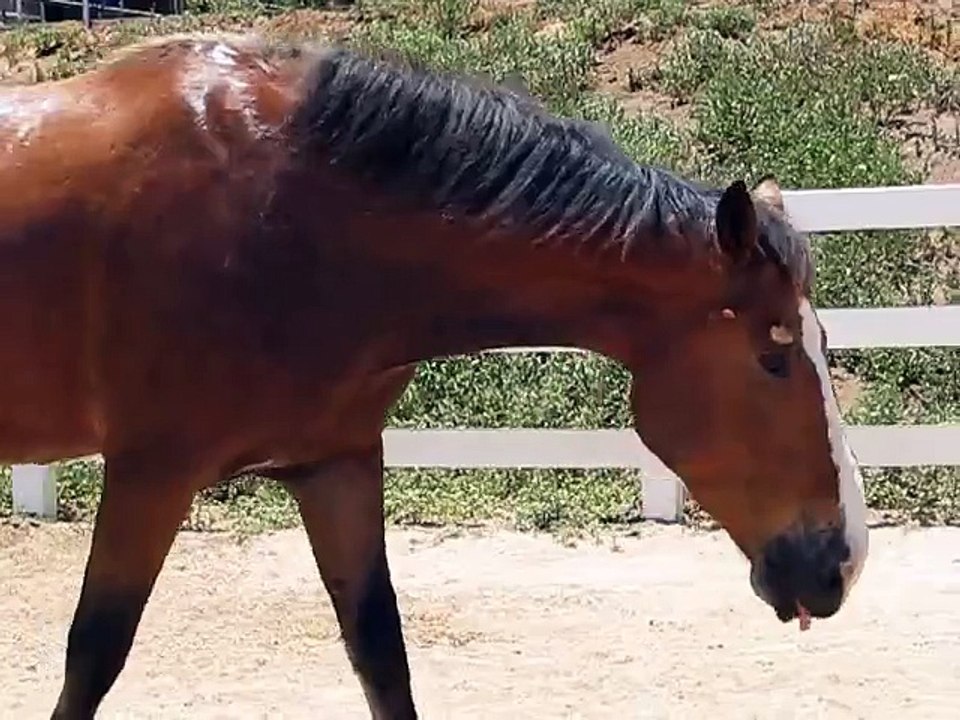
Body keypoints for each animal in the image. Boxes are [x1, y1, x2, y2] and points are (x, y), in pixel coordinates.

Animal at [0, 33, 869, 719]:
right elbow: (94, 654)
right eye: (773, 358)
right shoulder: (152, 473)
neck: (285, 216)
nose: (841, 562)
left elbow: (382, 653)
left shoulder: (335, 465)